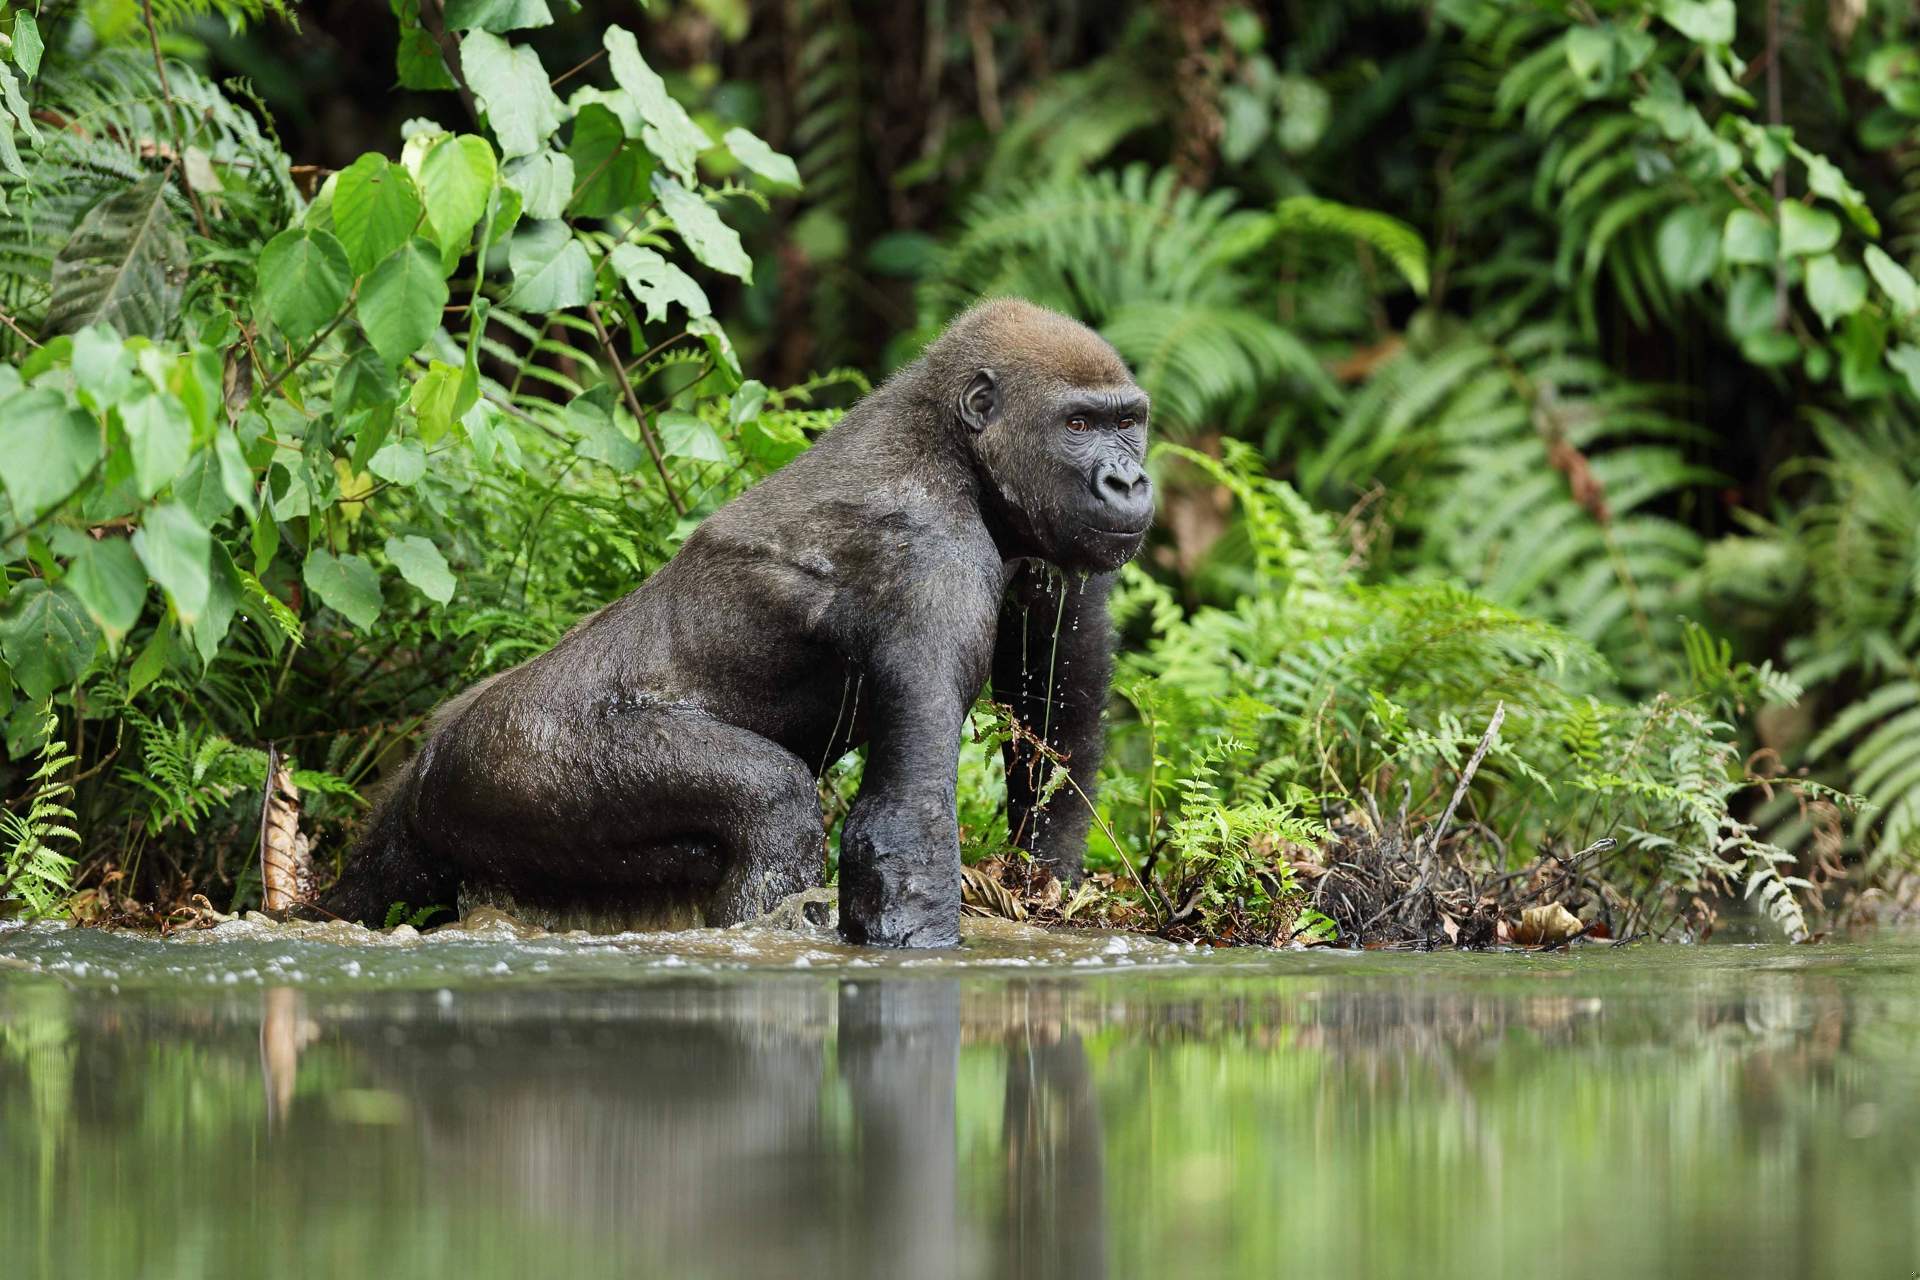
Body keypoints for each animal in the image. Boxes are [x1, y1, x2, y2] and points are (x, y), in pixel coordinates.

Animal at [320, 295, 1144, 948]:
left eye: (1128, 422)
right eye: (1077, 423)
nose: (1129, 480)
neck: (953, 441)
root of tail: (429, 756)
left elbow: (1054, 715)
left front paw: (1045, 882)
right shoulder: (934, 558)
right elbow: (902, 824)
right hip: (510, 763)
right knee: (773, 805)